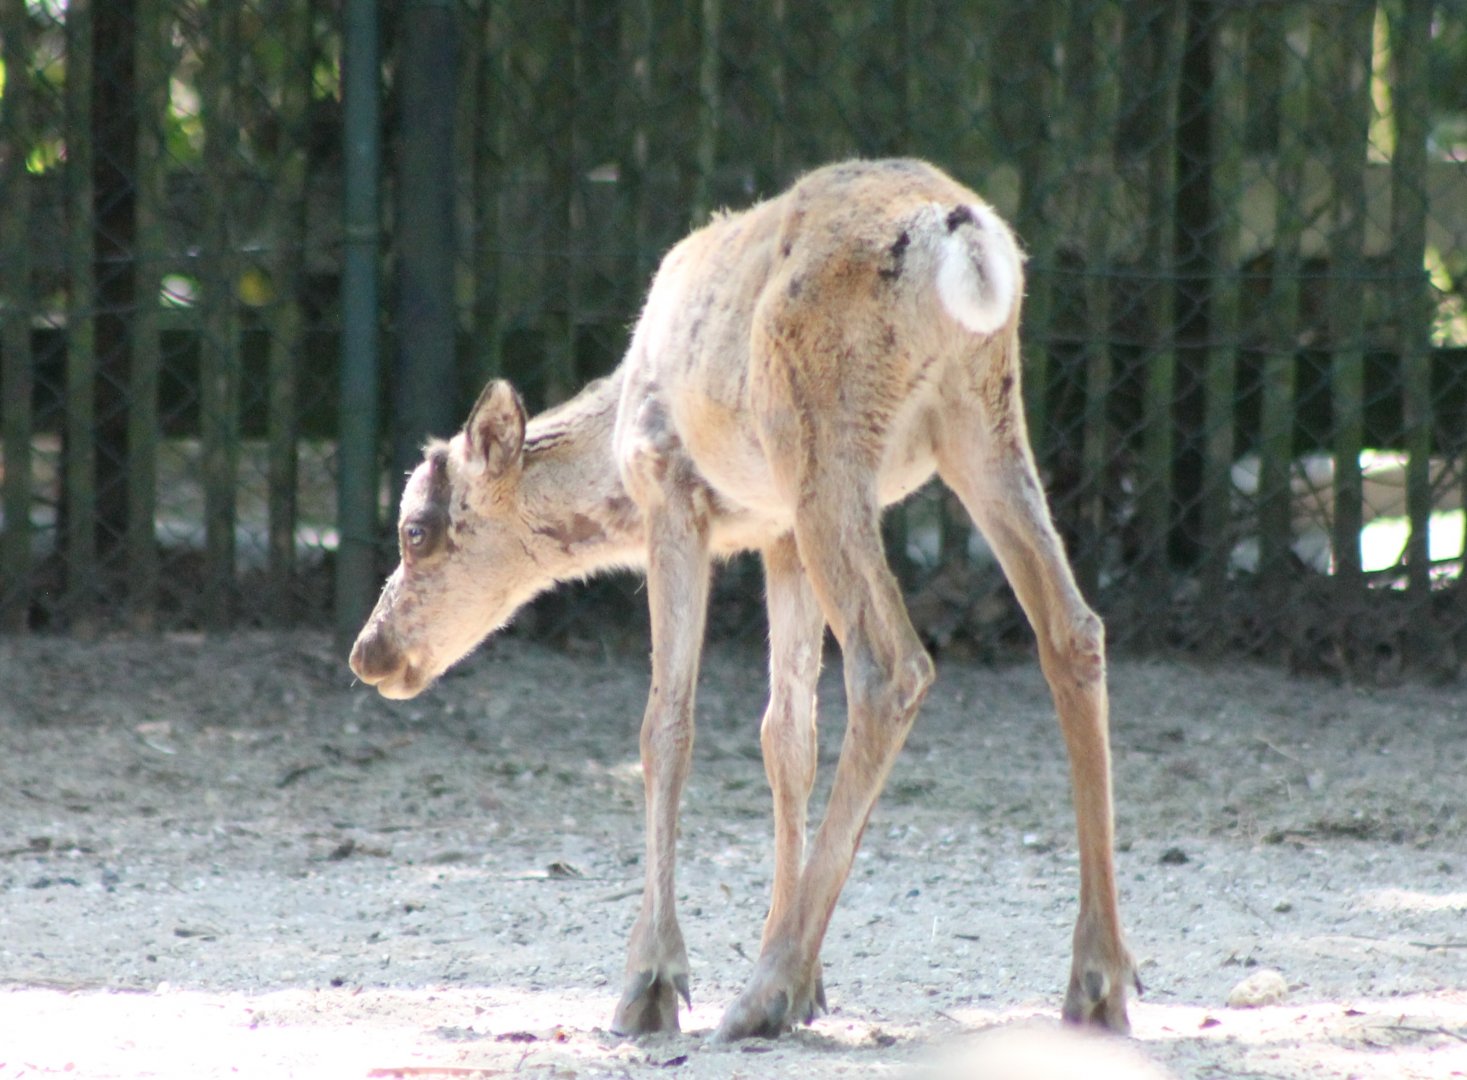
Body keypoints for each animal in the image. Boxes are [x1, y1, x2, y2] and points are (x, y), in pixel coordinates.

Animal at [349, 158, 1138, 1041]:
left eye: (415, 531)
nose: (370, 651)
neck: (616, 437)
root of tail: (958, 235)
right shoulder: (775, 532)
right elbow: (785, 733)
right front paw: (815, 984)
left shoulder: (672, 492)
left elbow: (666, 724)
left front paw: (651, 983)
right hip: (980, 419)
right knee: (1072, 630)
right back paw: (1096, 982)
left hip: (821, 435)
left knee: (892, 664)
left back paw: (762, 993)